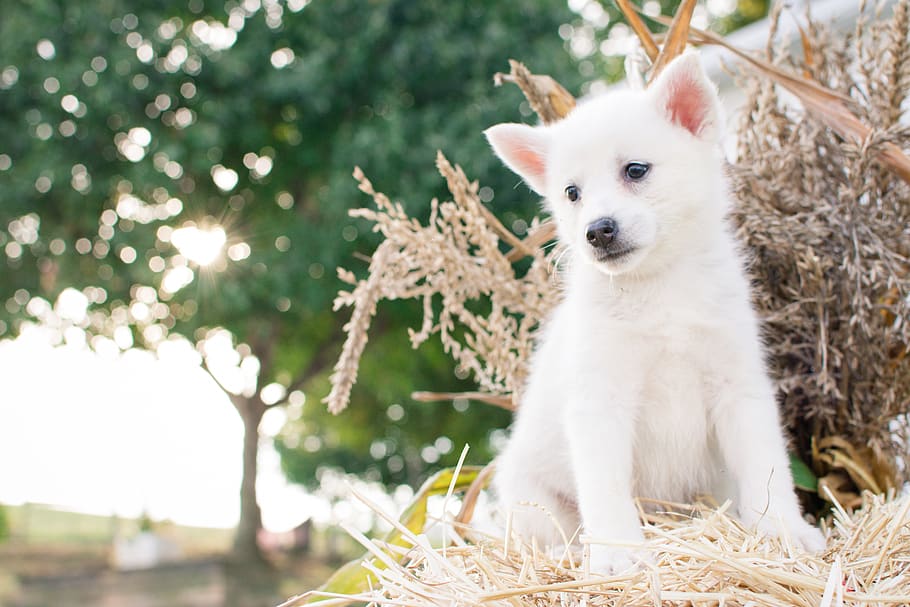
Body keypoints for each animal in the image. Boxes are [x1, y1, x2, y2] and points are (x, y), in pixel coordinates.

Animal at [488, 52, 832, 576]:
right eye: (571, 193)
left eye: (635, 170)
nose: (597, 231)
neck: (660, 288)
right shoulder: (600, 402)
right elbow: (606, 490)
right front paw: (616, 555)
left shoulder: (738, 387)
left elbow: (766, 468)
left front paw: (785, 532)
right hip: (531, 495)